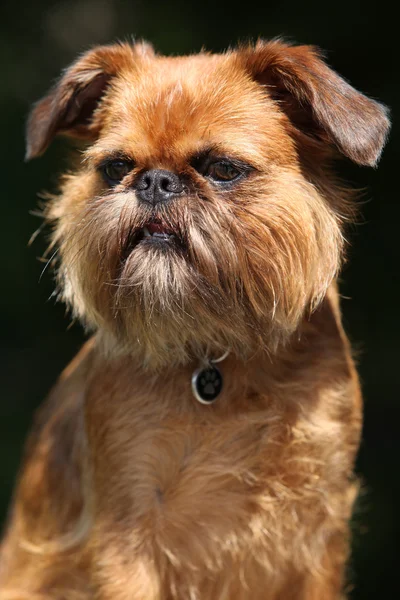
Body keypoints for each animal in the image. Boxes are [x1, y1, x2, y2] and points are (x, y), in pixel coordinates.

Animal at [0, 39, 390, 596]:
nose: (155, 181)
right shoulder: (127, 535)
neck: (219, 353)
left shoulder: (317, 535)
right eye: (115, 168)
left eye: (223, 168)